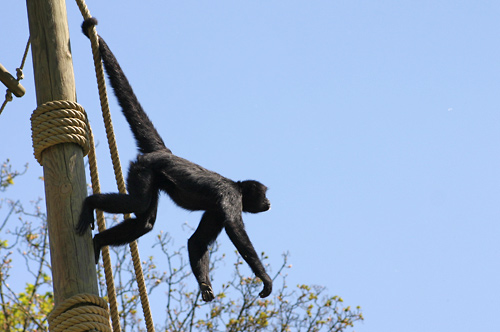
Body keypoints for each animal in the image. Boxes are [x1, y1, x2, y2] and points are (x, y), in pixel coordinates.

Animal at [77, 18, 274, 300]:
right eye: (264, 194)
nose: (269, 202)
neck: (236, 186)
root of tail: (164, 152)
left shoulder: (215, 210)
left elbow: (196, 241)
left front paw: (204, 285)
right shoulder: (230, 199)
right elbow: (236, 231)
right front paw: (265, 280)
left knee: (145, 221)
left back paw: (99, 241)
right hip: (143, 168)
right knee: (138, 202)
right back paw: (91, 203)